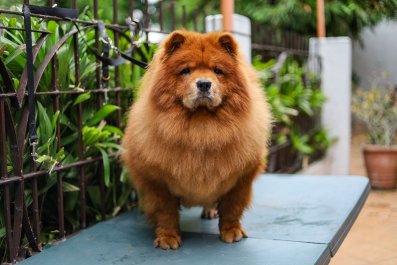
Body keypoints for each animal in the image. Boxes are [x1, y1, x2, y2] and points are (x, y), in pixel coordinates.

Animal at [122, 29, 270, 249]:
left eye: (217, 71)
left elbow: (232, 208)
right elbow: (166, 211)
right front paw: (167, 237)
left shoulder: (241, 177)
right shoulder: (156, 181)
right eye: (186, 71)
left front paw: (231, 231)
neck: (201, 130)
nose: (204, 83)